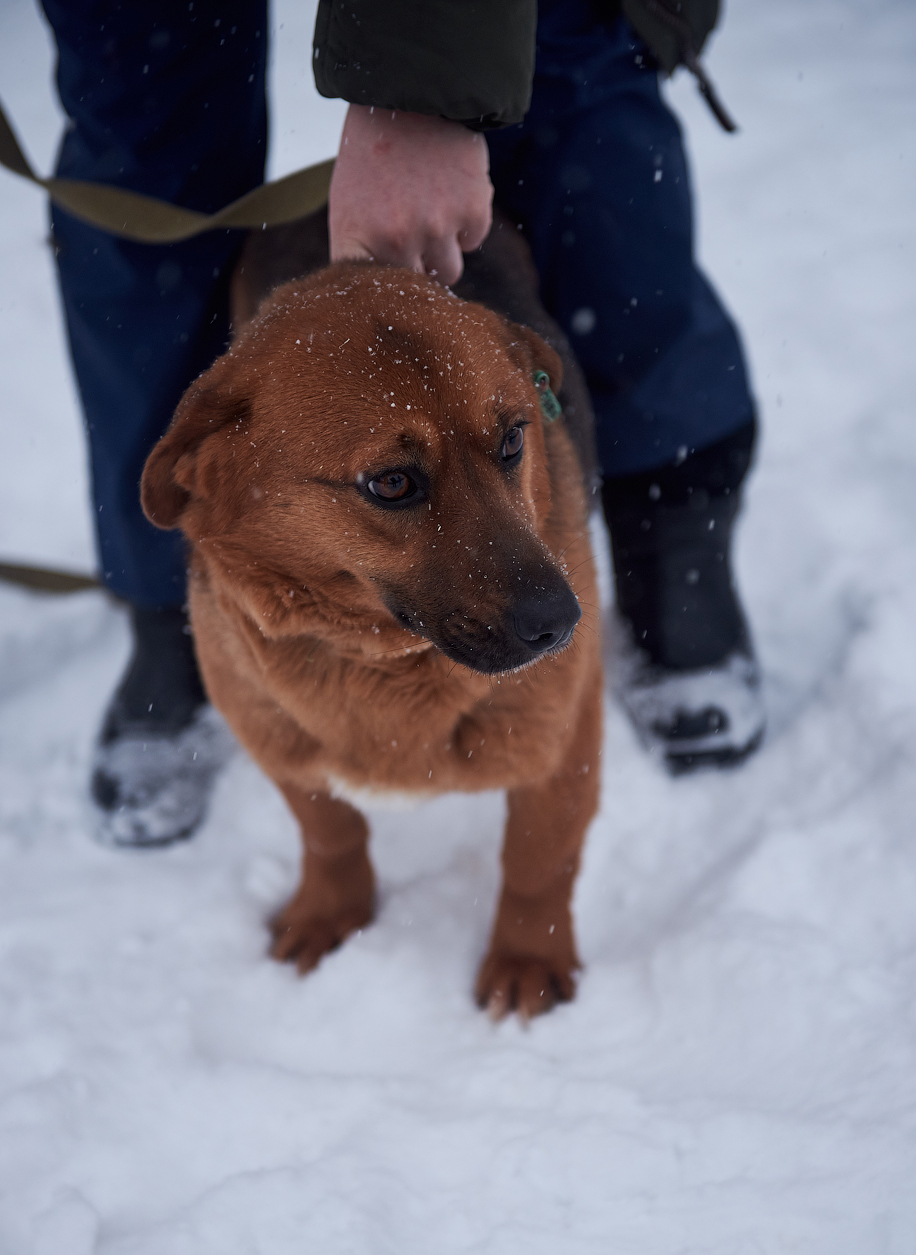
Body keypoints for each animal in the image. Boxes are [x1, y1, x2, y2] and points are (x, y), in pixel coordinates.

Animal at [141, 249, 599, 1014]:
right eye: (391, 483)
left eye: (512, 440)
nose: (562, 624)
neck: (381, 658)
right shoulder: (274, 735)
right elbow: (330, 829)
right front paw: (334, 912)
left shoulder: (561, 739)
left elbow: (538, 856)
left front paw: (527, 958)